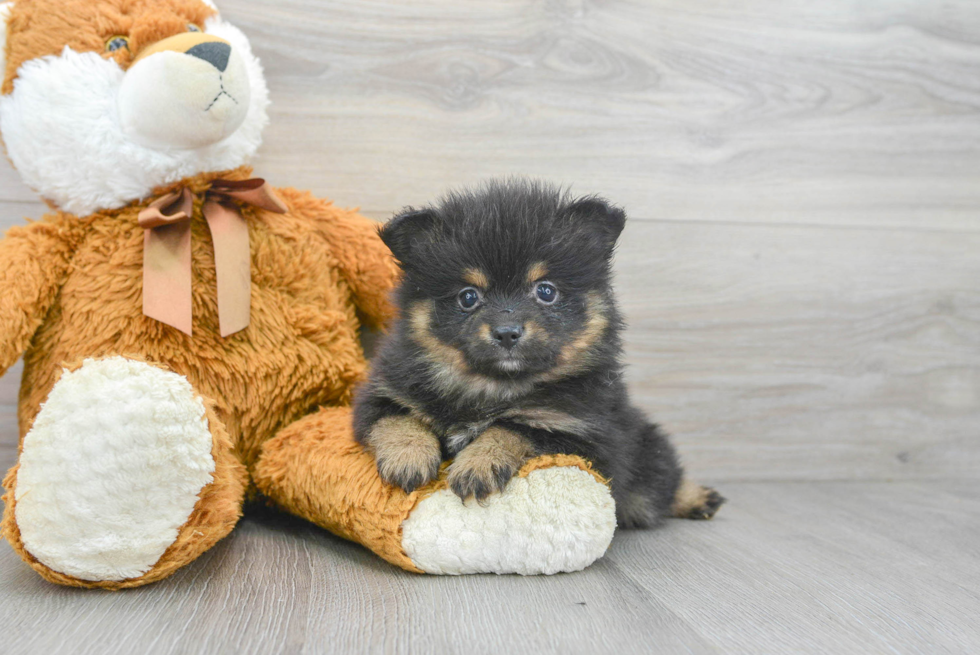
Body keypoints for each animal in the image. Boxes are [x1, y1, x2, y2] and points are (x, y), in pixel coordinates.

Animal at [356, 182, 724, 532]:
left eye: (546, 291)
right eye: (468, 297)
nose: (506, 332)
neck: (492, 387)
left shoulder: (579, 434)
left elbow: (512, 428)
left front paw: (478, 464)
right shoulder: (379, 394)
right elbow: (398, 418)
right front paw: (408, 456)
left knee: (659, 484)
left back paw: (697, 497)